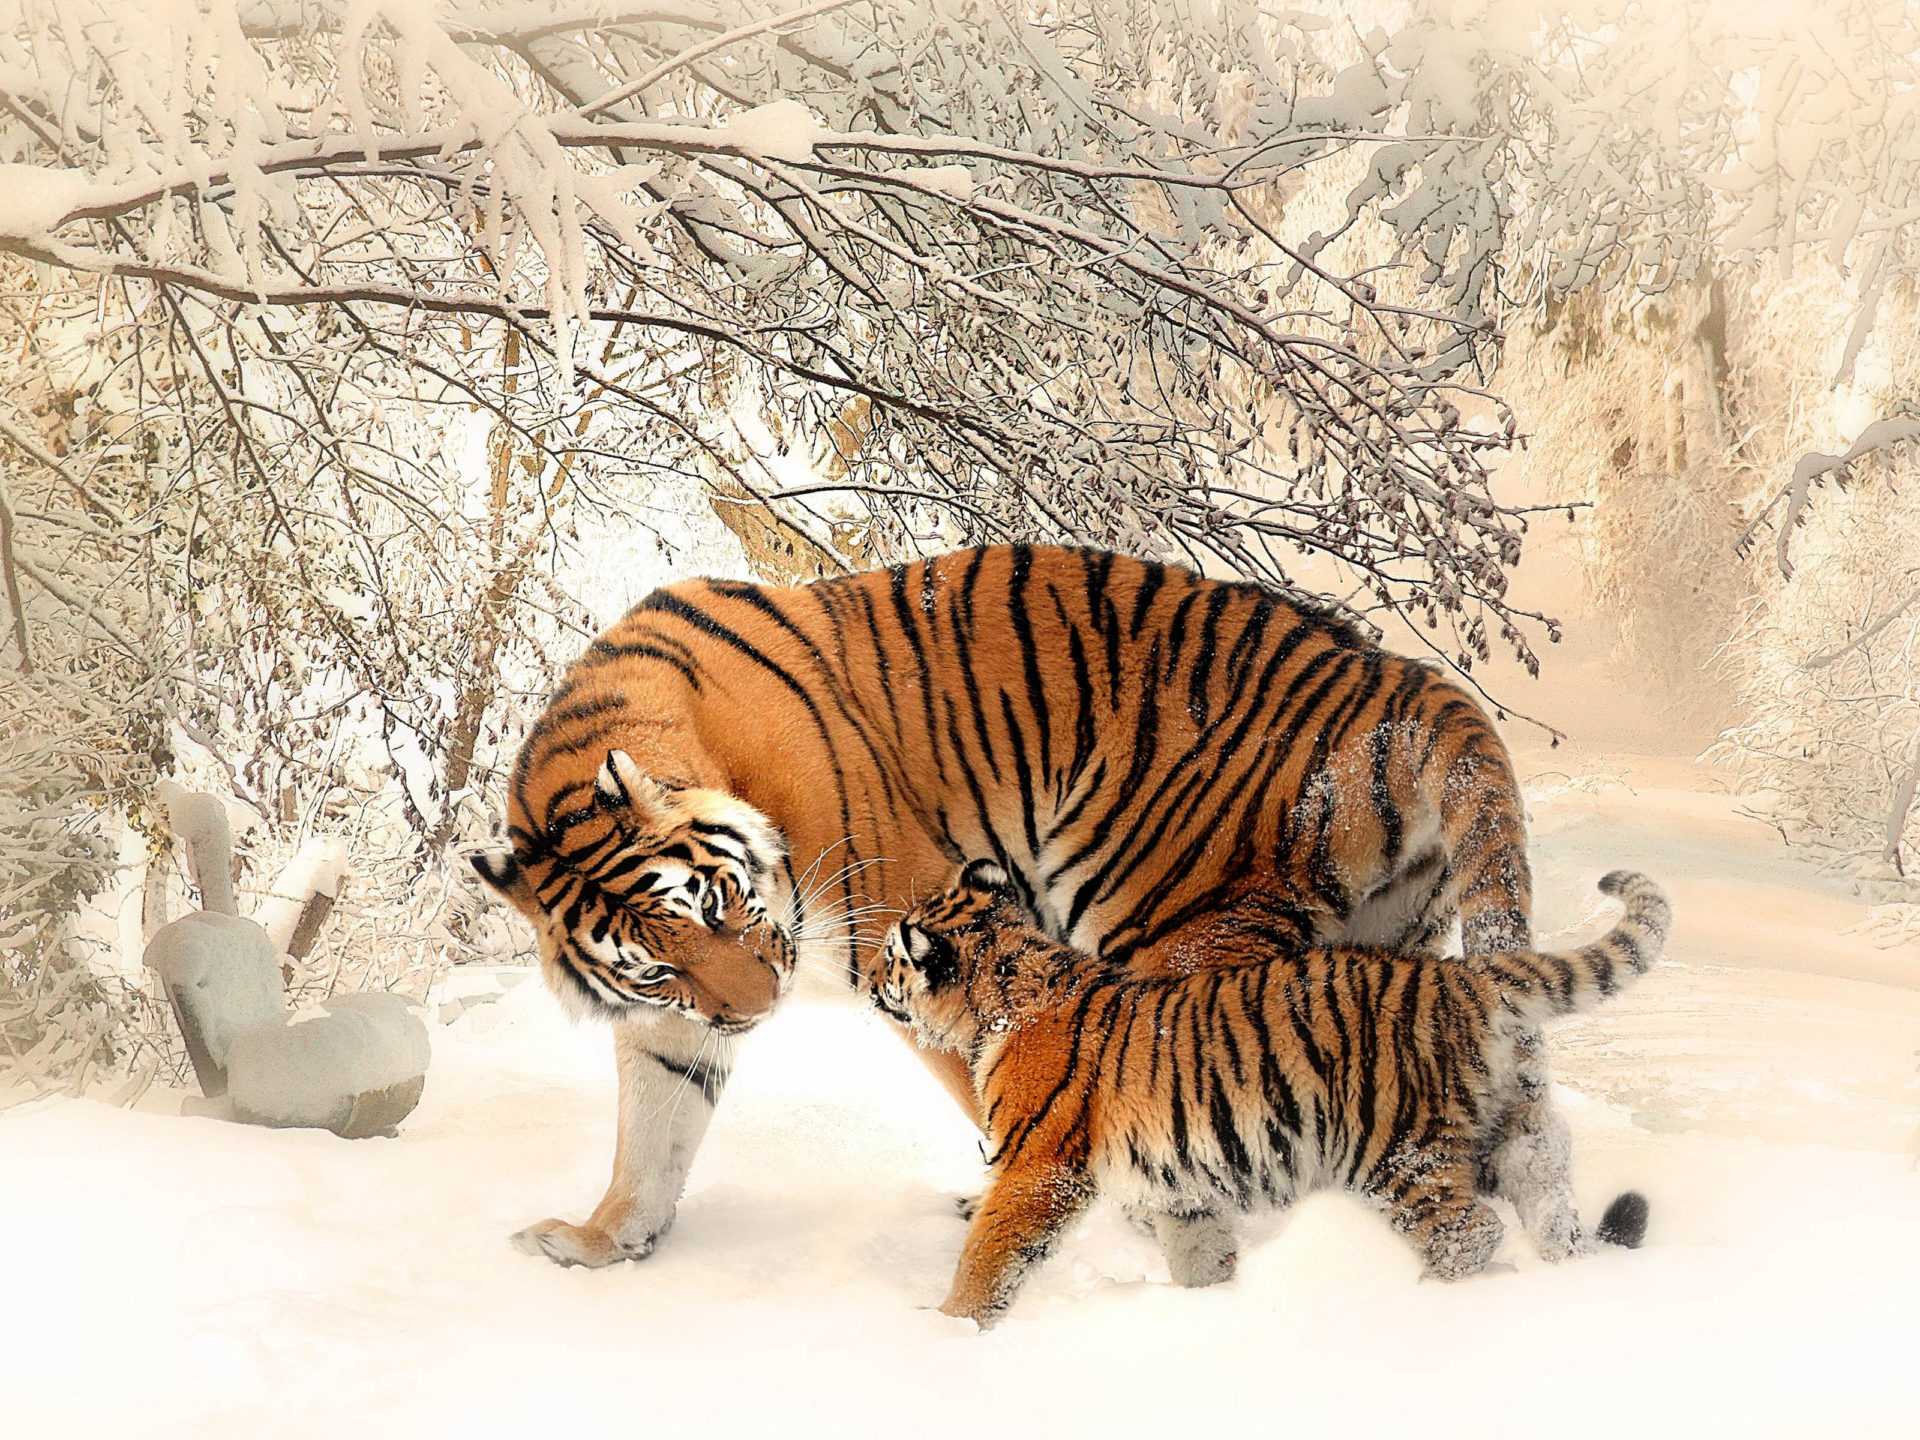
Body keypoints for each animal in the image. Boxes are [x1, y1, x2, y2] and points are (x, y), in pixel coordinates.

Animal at [472, 544, 1552, 1270]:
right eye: (658, 963)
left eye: (720, 904)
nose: (758, 1010)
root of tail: (1396, 679)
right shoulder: (672, 1020)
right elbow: (652, 1130)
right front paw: (601, 1240)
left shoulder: (916, 931)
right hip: (1384, 952)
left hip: (1169, 924)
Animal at [874, 859, 1668, 1328]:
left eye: (890, 955)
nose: (873, 982)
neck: (1002, 993)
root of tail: (1462, 975)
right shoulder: (1180, 1186)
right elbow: (1199, 1253)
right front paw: (1211, 1309)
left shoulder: (1037, 1166)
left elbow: (989, 1254)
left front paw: (946, 1327)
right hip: (1506, 1132)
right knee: (1548, 1196)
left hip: (1397, 1151)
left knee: (1468, 1233)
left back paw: (1425, 1303)